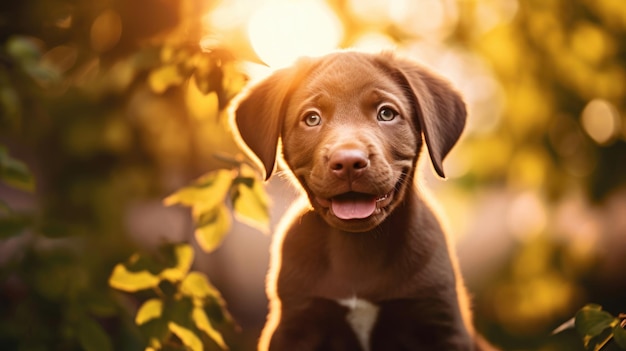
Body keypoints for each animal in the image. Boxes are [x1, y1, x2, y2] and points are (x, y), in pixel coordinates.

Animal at [232, 51, 490, 351]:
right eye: (312, 118)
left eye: (386, 113)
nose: (348, 162)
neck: (357, 248)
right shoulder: (295, 325)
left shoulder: (442, 322)